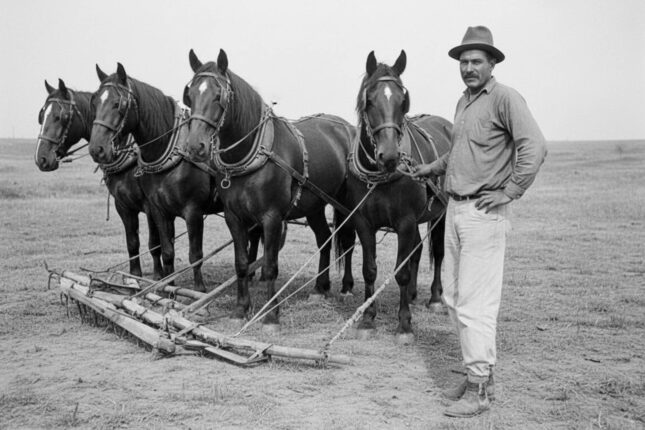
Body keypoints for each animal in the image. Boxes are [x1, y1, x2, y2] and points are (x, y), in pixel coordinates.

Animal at [35, 78, 163, 280]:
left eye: (61, 116)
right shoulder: (123, 205)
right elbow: (132, 241)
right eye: (42, 116)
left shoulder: (151, 205)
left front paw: (159, 276)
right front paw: (134, 275)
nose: (40, 158)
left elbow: (155, 242)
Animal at [183, 49, 356, 329]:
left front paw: (271, 314)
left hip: (347, 203)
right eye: (190, 95)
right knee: (323, 238)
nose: (195, 146)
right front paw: (241, 309)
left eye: (219, 96)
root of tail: (347, 128)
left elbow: (270, 266)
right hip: (314, 204)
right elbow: (242, 263)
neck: (251, 155)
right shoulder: (234, 217)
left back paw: (347, 287)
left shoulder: (272, 217)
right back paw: (320, 287)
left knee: (349, 240)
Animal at [344, 50, 452, 343]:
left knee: (437, 252)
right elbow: (369, 269)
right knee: (416, 251)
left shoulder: (405, 222)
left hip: (440, 213)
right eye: (369, 100)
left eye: (403, 102)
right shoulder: (363, 222)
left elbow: (401, 272)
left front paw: (404, 324)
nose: (390, 156)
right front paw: (367, 318)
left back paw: (434, 298)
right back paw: (413, 295)